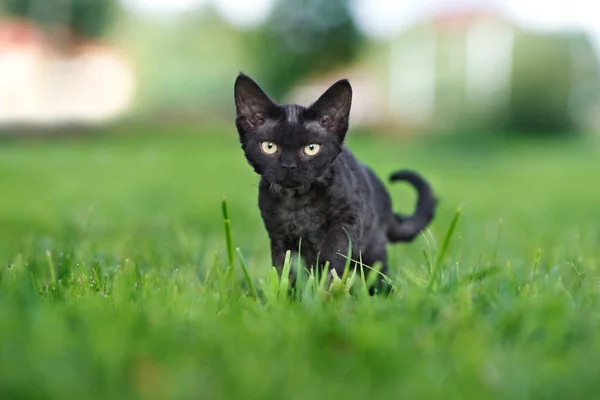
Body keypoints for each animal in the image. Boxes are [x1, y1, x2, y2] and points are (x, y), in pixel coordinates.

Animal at [233, 73, 436, 288]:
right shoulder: (279, 236)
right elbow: (285, 268)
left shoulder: (349, 218)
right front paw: (288, 293)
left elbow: (335, 248)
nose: (289, 166)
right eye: (269, 146)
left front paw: (325, 282)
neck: (298, 203)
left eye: (311, 148)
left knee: (379, 273)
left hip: (373, 249)